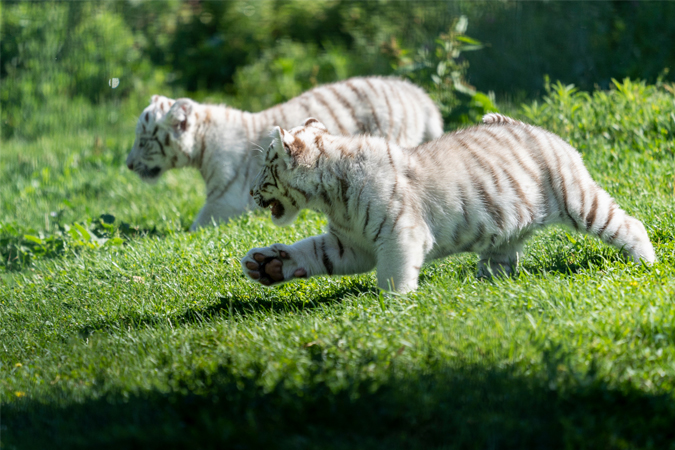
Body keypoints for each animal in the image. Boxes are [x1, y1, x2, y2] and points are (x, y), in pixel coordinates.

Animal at [125, 77, 443, 231]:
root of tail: (420, 95)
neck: (202, 145)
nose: (127, 165)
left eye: (143, 141)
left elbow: (195, 227)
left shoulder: (223, 202)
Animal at [241, 115, 656, 293]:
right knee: (503, 259)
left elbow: (394, 272)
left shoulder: (399, 232)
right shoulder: (350, 243)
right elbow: (313, 251)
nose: (250, 193)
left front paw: (391, 305)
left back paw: (646, 263)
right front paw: (268, 265)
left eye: (265, 167)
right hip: (505, 230)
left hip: (578, 199)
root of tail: (525, 124)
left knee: (627, 224)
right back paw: (485, 284)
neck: (329, 197)